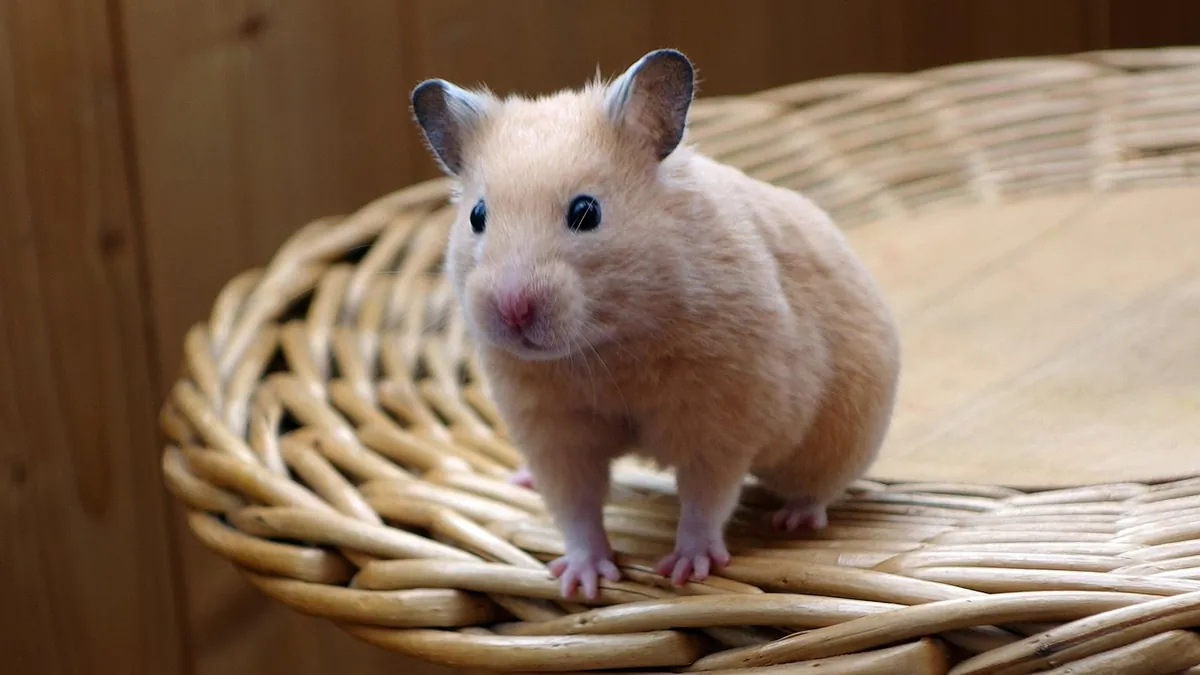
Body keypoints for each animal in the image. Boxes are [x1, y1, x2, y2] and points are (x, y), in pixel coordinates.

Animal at [409, 49, 901, 600]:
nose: (512, 308)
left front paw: (685, 571)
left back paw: (794, 521)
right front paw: (583, 582)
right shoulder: (551, 429)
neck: (604, 344)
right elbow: (575, 507)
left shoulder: (722, 420)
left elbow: (706, 498)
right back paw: (521, 482)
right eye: (477, 215)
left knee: (820, 486)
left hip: (842, 433)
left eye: (586, 212)